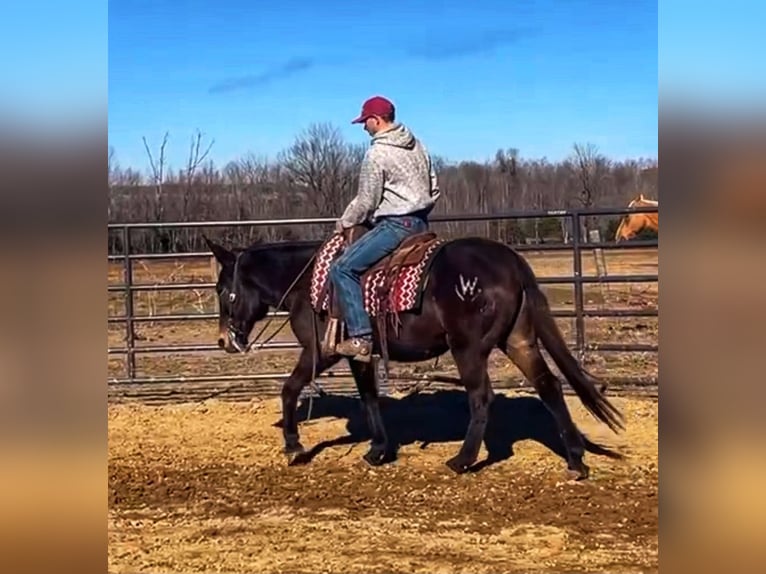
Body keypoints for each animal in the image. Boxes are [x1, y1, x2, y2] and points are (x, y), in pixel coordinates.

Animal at [204, 227, 624, 480]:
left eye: (223, 290)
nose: (225, 340)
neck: (308, 283)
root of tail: (511, 262)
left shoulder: (320, 351)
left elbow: (290, 388)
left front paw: (293, 446)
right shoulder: (359, 353)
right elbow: (369, 398)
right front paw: (377, 450)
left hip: (468, 347)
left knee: (481, 396)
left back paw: (462, 460)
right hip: (519, 339)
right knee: (549, 386)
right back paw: (575, 460)